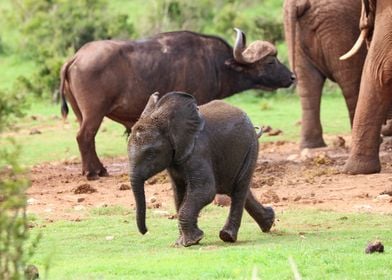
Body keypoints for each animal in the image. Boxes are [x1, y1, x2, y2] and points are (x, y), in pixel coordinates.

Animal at [60, 28, 294, 180]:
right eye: (270, 61)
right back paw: (92, 173)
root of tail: (76, 57)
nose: (292, 77)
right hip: (94, 112)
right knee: (84, 136)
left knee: (87, 139)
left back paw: (99, 169)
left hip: (81, 114)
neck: (215, 64)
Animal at [127, 91, 274, 246]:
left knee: (239, 189)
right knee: (234, 189)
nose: (145, 231)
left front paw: (191, 242)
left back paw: (228, 236)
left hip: (251, 148)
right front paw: (182, 242)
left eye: (150, 154)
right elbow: (179, 193)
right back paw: (268, 222)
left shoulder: (198, 151)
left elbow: (206, 190)